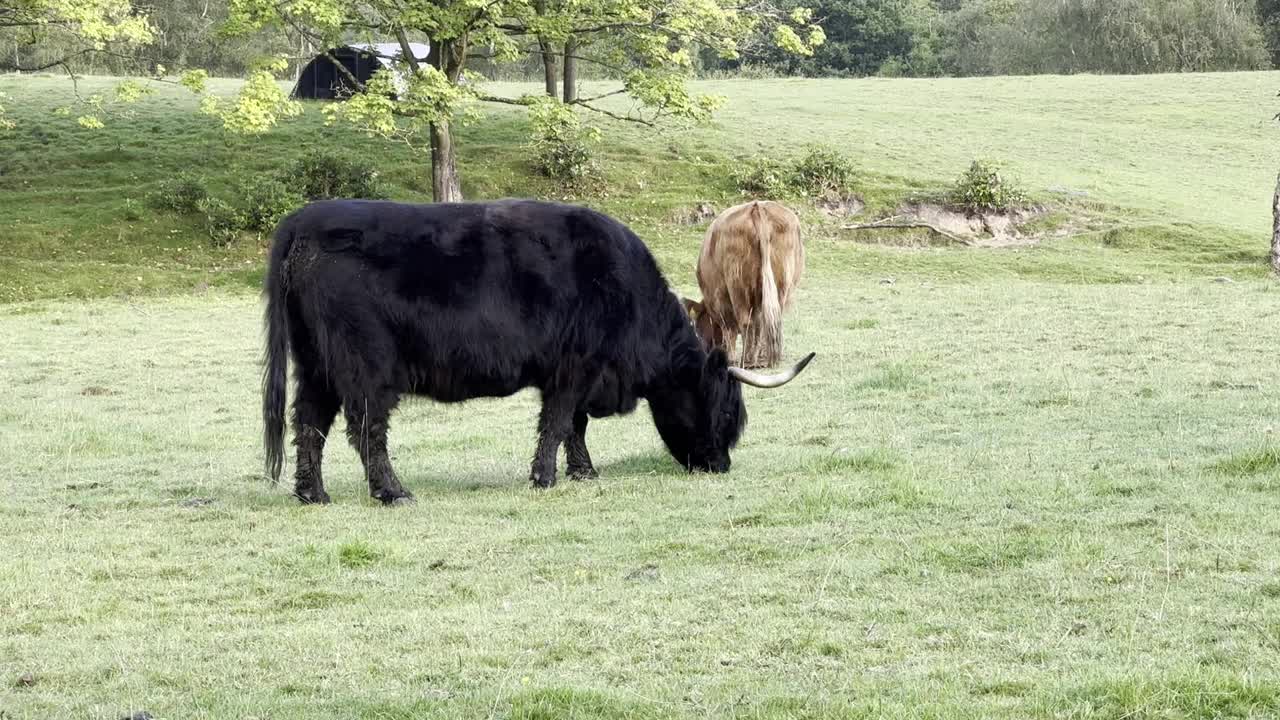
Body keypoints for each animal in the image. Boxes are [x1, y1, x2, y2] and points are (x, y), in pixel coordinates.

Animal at [680, 202, 798, 368]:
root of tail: (757, 207)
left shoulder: (718, 297)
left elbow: (729, 328)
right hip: (781, 284)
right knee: (768, 321)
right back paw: (764, 358)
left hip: (737, 286)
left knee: (745, 322)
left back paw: (746, 360)